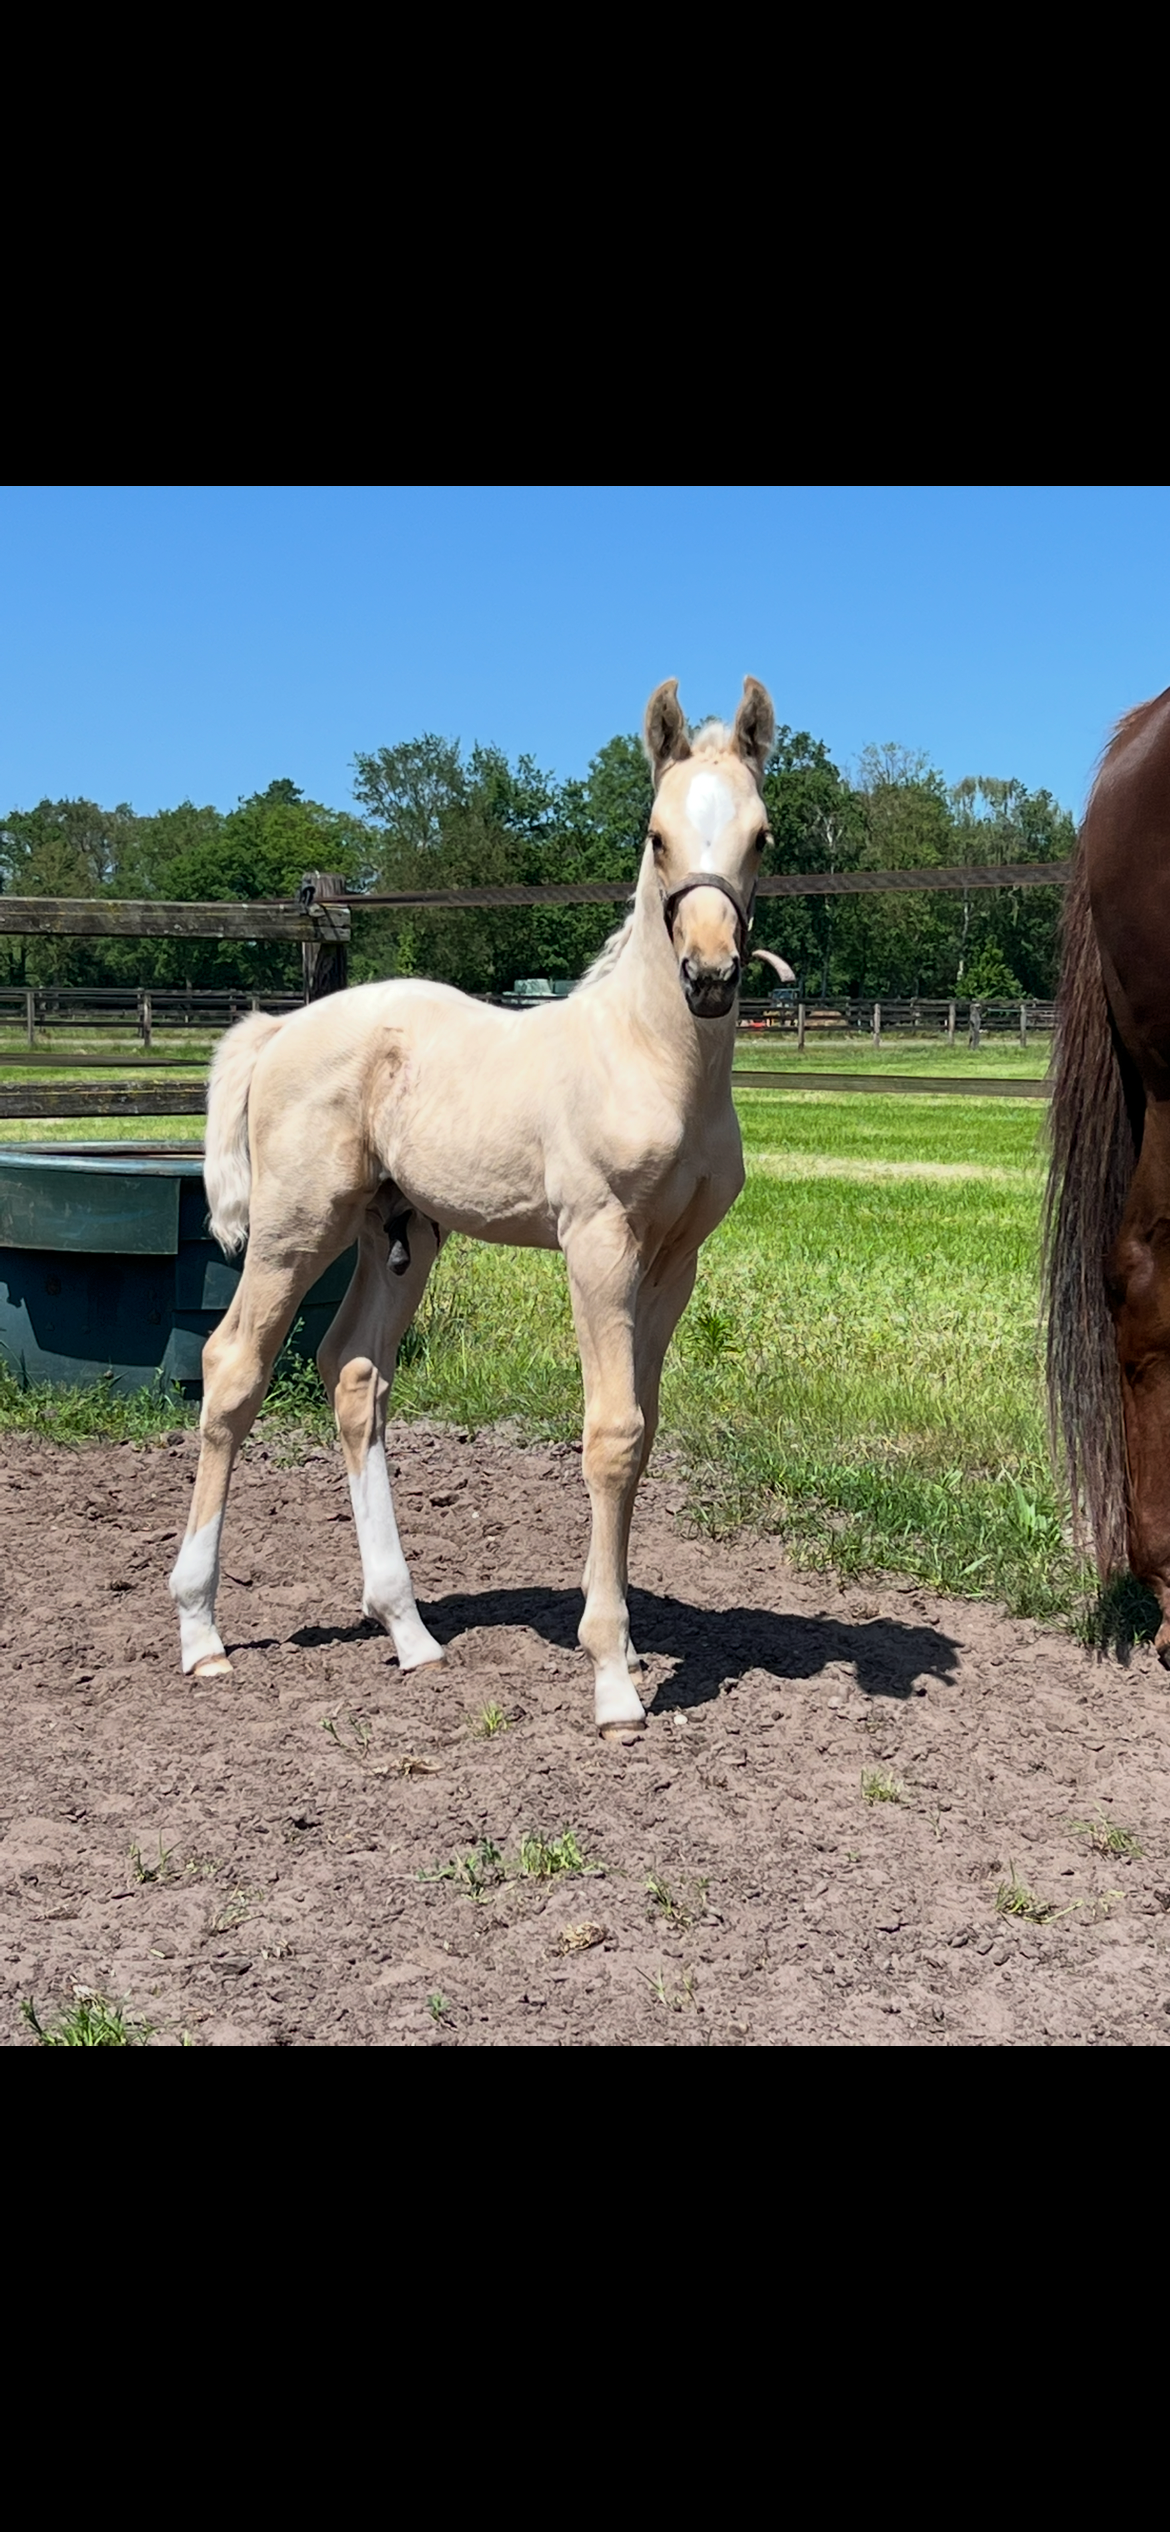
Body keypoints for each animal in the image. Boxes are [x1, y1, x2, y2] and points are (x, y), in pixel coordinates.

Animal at [169, 675, 777, 1738]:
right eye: (656, 834)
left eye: (762, 835)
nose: (709, 975)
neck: (654, 1062)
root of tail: (282, 1028)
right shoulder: (598, 1243)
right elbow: (609, 1434)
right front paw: (612, 1678)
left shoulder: (675, 1259)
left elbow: (642, 1428)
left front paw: (621, 1639)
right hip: (295, 1229)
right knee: (234, 1366)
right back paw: (201, 1632)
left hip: (403, 1230)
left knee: (352, 1373)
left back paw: (409, 1631)